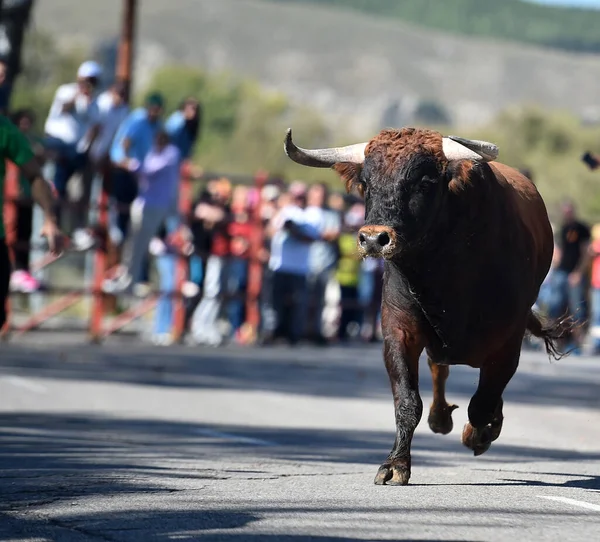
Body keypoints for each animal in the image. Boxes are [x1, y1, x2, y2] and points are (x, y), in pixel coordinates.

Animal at [284, 129, 568, 488]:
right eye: (366, 181)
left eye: (424, 181)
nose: (373, 239)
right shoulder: (398, 332)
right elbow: (408, 402)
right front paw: (395, 464)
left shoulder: (508, 343)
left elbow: (482, 404)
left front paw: (479, 434)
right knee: (438, 369)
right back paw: (440, 417)